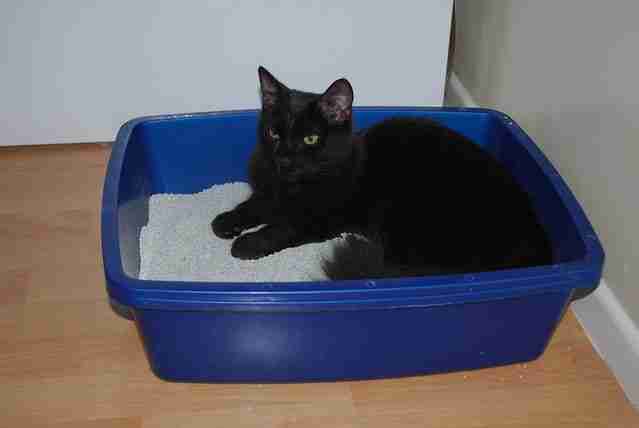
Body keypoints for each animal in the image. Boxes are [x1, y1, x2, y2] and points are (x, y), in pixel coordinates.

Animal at [212, 67, 552, 280]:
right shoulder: (270, 191)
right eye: (273, 133)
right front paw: (227, 221)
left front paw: (248, 243)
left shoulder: (321, 218)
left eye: (310, 139)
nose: (283, 159)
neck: (294, 183)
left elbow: (282, 228)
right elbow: (255, 204)